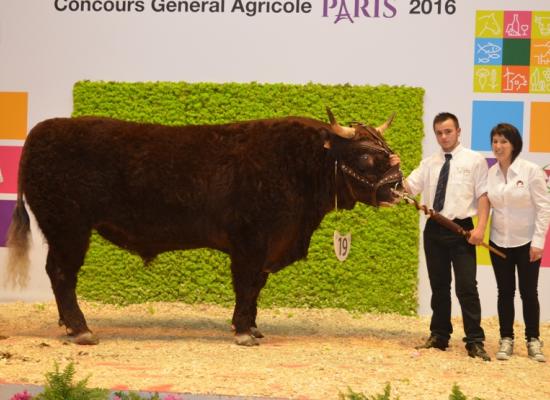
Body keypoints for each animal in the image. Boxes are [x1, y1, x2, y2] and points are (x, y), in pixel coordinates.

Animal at [6, 108, 406, 346]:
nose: (398, 187)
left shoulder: (266, 247)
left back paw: (69, 325)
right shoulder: (250, 242)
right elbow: (246, 285)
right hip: (68, 228)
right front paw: (243, 331)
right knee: (62, 274)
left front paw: (252, 326)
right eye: (366, 156)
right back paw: (81, 329)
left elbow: (256, 288)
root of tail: (45, 128)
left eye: (388, 148)